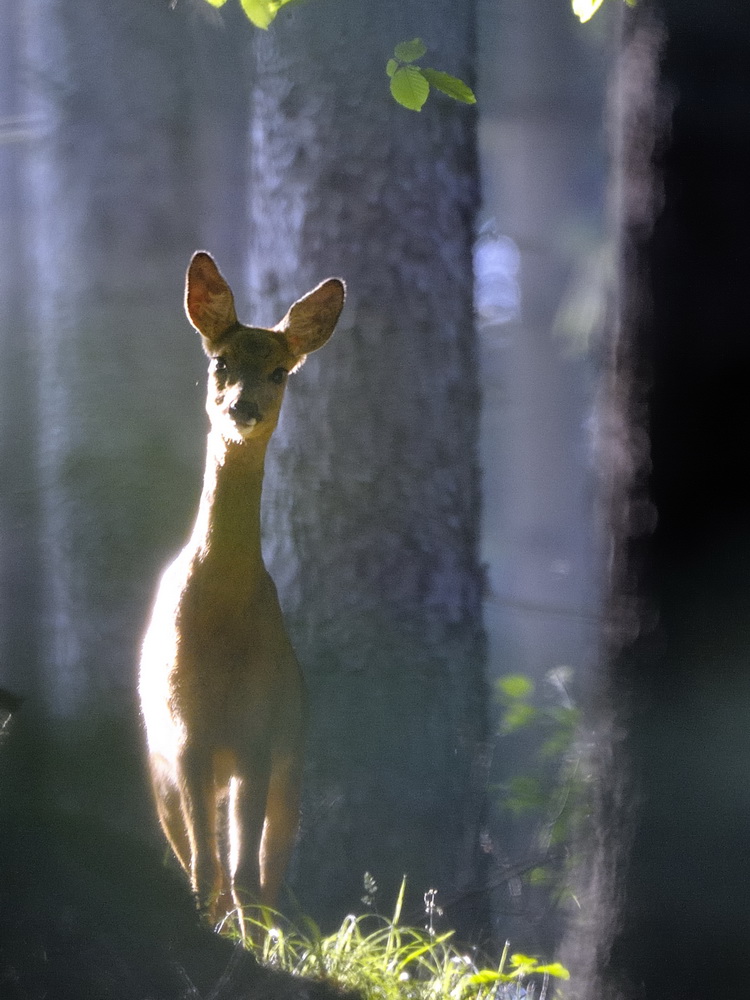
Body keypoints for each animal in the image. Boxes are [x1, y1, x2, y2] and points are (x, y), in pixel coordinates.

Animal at [140, 250, 346, 928]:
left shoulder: (258, 732)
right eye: (220, 362)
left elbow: (244, 879)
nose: (243, 408)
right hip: (162, 759)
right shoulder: (187, 735)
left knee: (270, 871)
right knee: (195, 856)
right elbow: (206, 872)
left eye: (280, 372)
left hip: (291, 756)